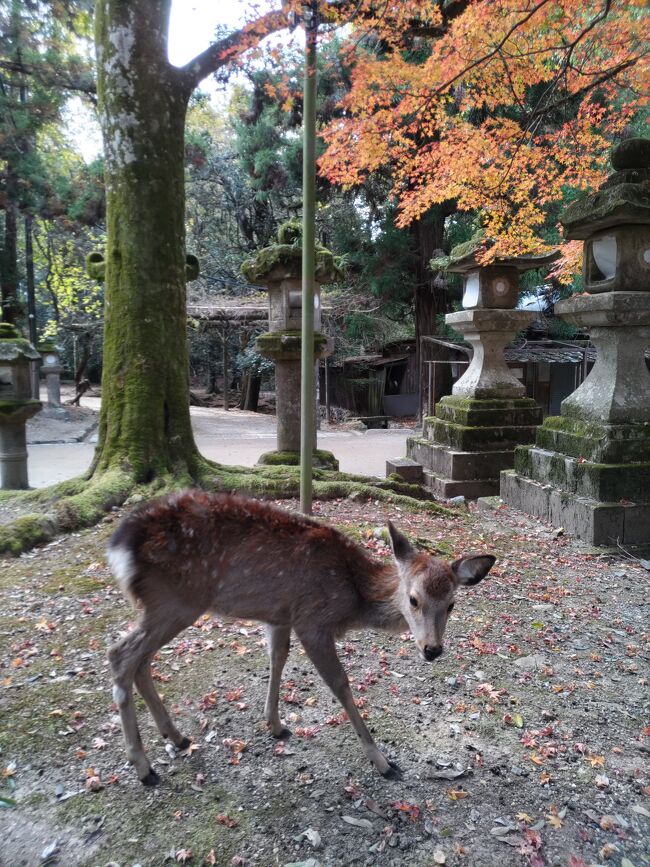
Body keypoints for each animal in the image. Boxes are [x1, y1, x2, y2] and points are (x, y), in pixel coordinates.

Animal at [107, 488, 492, 788]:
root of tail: (120, 546)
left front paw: (275, 725)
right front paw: (383, 762)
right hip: (175, 600)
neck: (352, 597)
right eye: (413, 599)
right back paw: (144, 767)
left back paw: (176, 735)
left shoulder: (281, 615)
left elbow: (277, 657)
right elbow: (340, 684)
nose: (432, 649)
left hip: (165, 606)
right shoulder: (312, 619)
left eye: (452, 605)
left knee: (141, 661)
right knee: (120, 654)